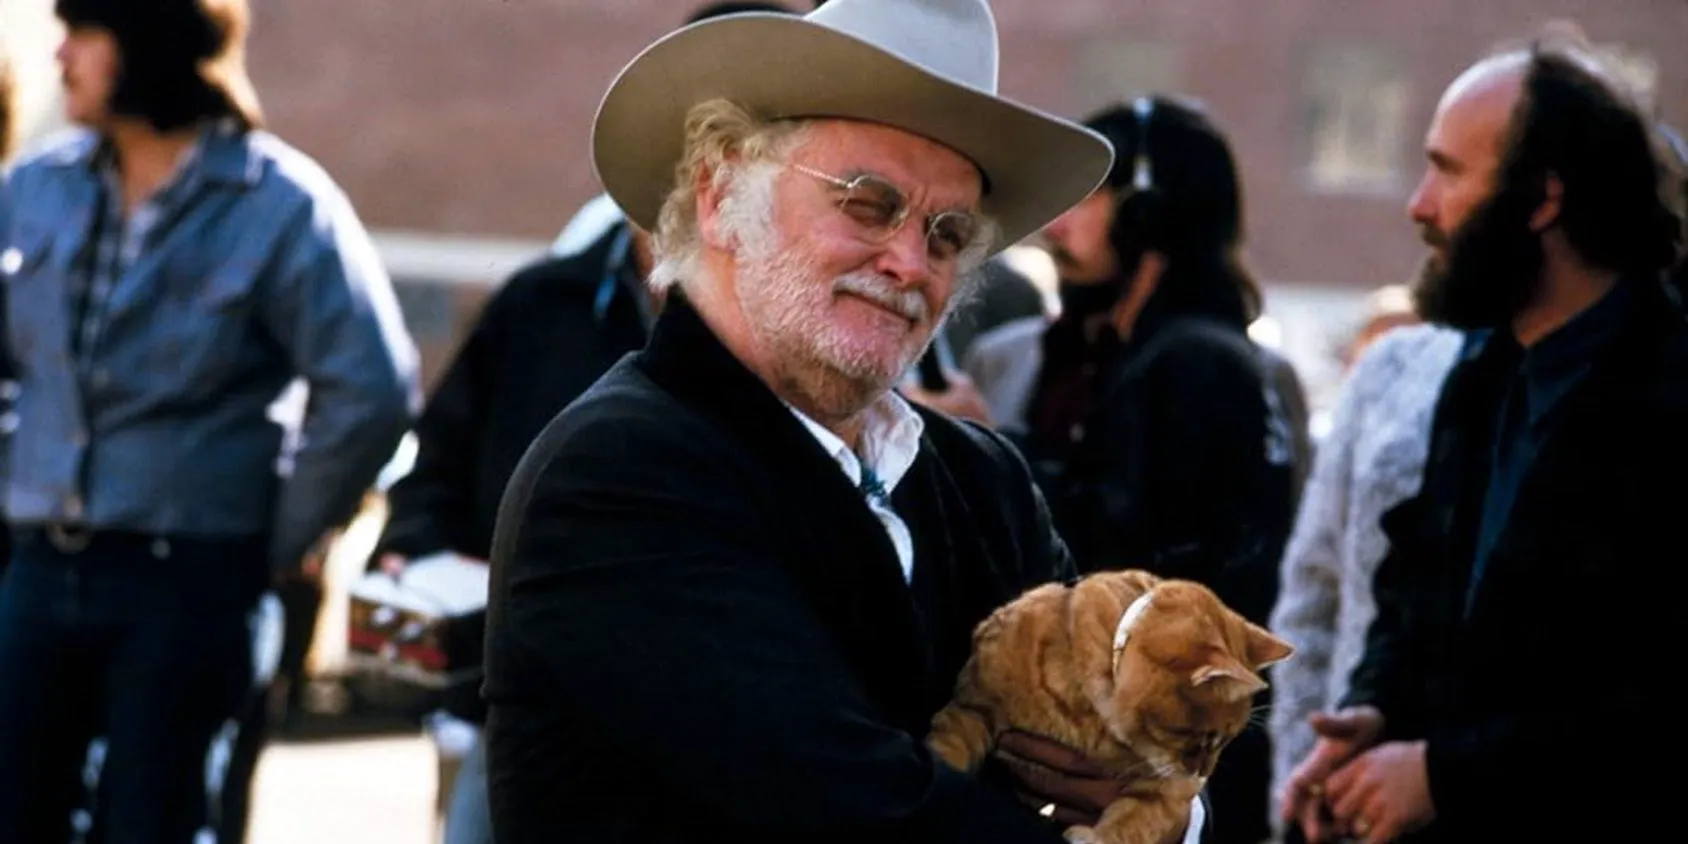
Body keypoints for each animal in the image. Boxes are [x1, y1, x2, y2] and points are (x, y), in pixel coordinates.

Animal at [925, 567, 1289, 844]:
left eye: (1226, 741)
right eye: (1205, 737)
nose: (1202, 774)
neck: (1090, 723)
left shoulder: (1165, 791)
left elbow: (1134, 824)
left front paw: (1092, 837)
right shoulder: (974, 704)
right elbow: (948, 750)